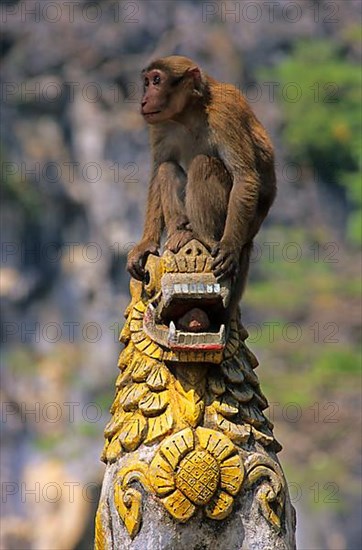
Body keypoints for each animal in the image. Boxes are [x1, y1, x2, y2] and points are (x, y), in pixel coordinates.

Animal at [126, 56, 276, 310]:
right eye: (146, 82)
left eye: (156, 80)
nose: (144, 99)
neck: (190, 112)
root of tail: (250, 237)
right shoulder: (161, 124)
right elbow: (158, 170)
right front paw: (146, 244)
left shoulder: (225, 113)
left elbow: (244, 176)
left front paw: (229, 246)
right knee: (167, 169)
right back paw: (181, 231)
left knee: (203, 163)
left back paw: (200, 235)